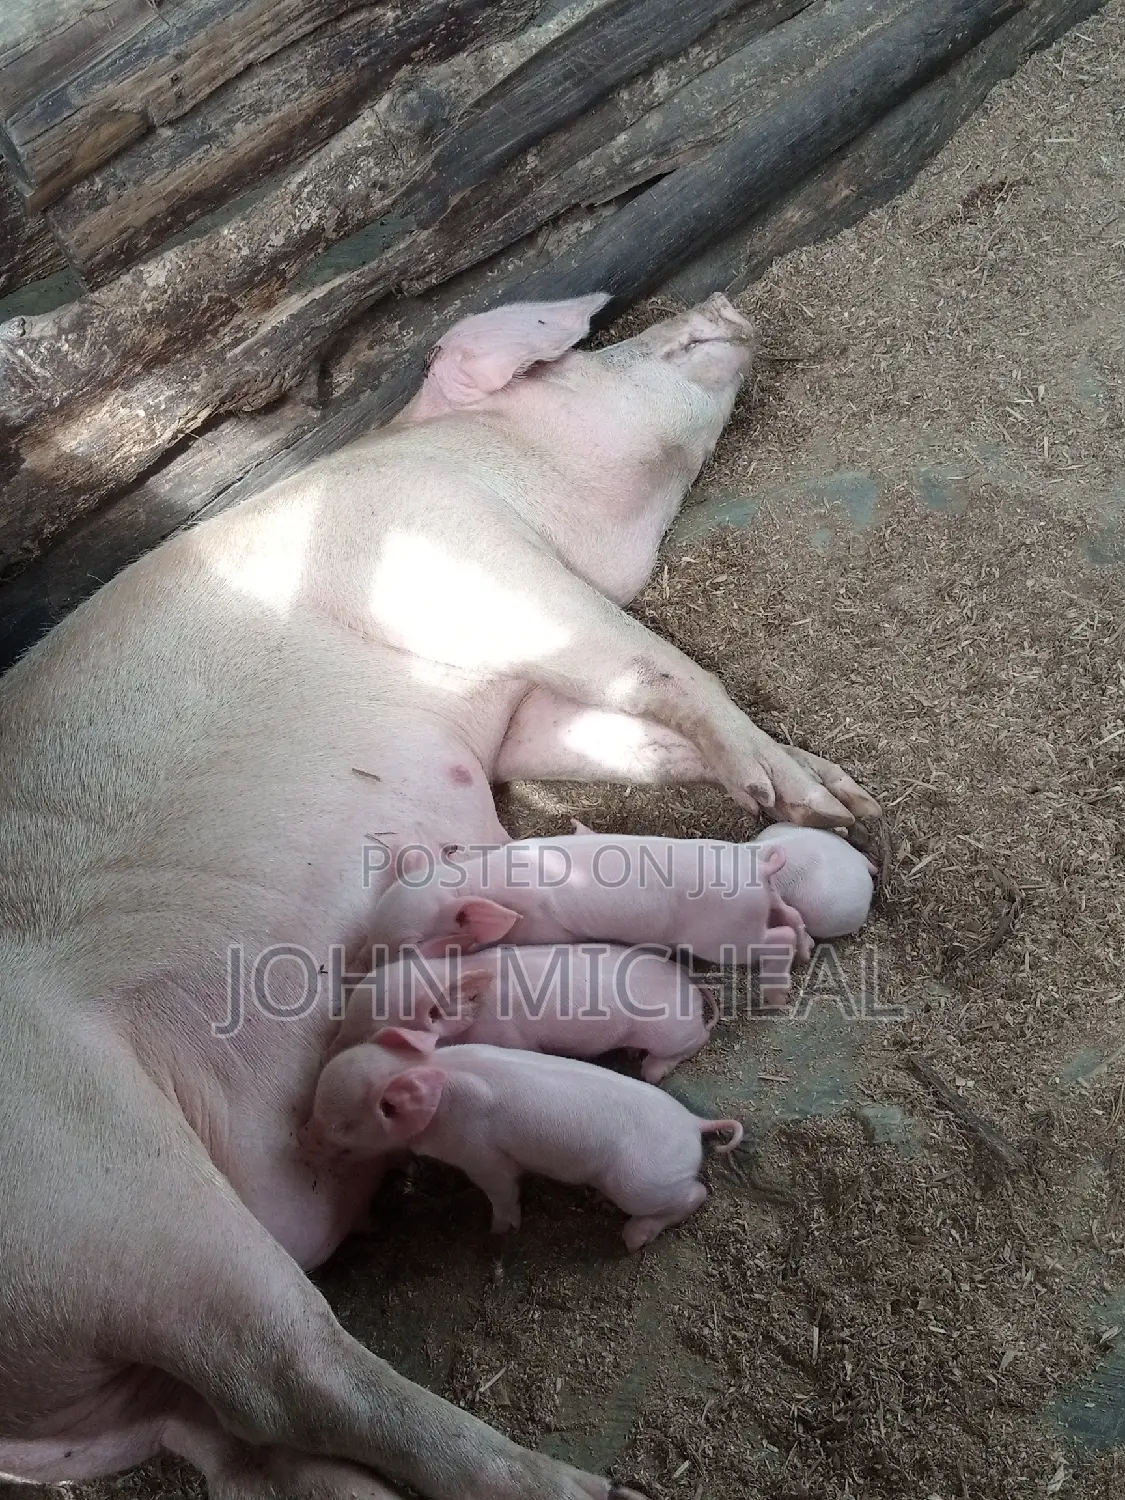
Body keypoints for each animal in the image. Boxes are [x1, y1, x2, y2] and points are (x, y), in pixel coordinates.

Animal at [300, 1028, 744, 1251]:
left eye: (341, 1127)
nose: (300, 1142)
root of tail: (693, 1123)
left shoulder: (481, 1154)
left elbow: (503, 1190)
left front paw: (497, 1232)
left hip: (640, 1183)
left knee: (696, 1195)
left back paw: (634, 1237)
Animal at [332, 943, 718, 1082]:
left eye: (374, 1030)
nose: (332, 1048)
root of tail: (689, 983)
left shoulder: (510, 1037)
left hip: (670, 1031)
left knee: (697, 1039)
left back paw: (649, 1068)